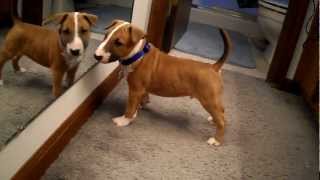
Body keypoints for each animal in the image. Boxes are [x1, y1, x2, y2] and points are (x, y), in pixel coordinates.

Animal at [94, 20, 231, 146]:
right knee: (222, 111)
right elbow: (139, 101)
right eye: (106, 35)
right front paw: (138, 109)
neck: (137, 54)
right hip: (214, 99)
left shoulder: (135, 89)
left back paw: (216, 140)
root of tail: (213, 67)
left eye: (118, 43)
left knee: (222, 120)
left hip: (208, 99)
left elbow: (130, 107)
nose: (96, 56)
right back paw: (213, 120)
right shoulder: (140, 90)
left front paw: (124, 120)